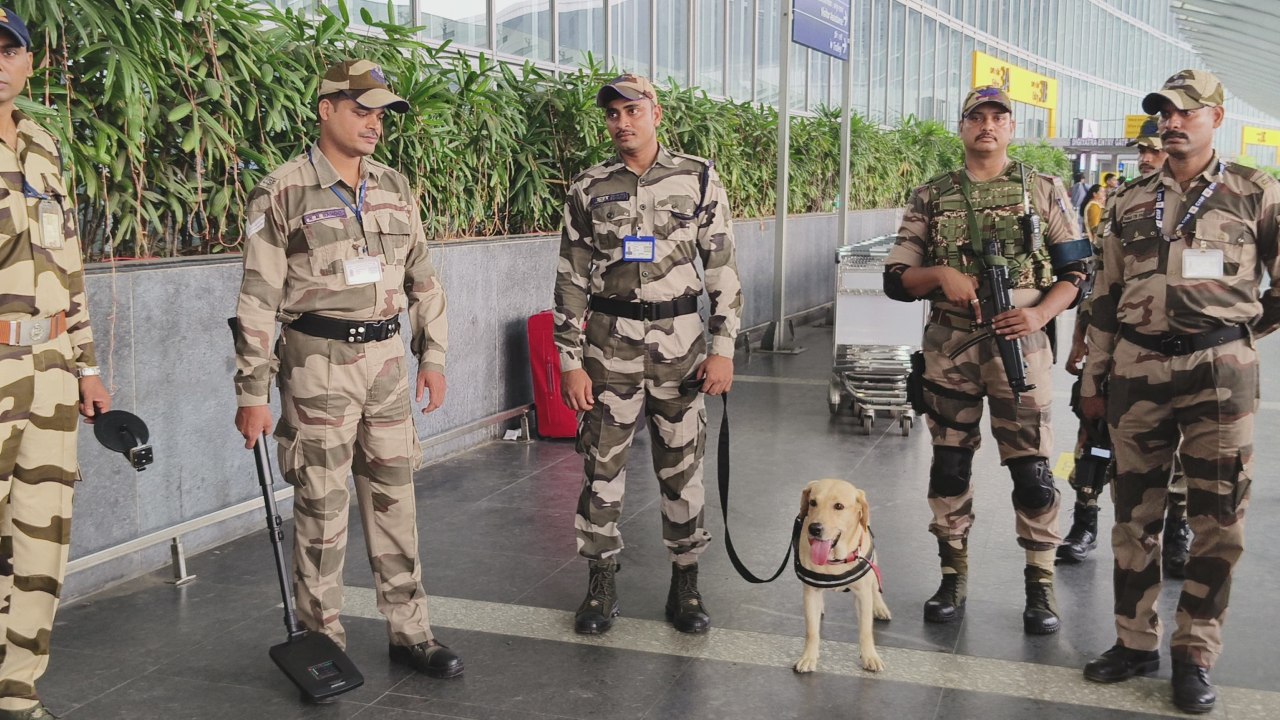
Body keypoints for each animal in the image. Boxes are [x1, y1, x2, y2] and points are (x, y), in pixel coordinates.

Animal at [788, 476, 890, 671]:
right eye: (812, 502)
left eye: (839, 506)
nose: (815, 529)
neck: (835, 558)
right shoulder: (810, 592)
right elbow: (811, 631)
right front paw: (808, 657)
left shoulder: (863, 594)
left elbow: (865, 630)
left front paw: (870, 656)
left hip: (873, 563)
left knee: (875, 585)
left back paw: (880, 607)